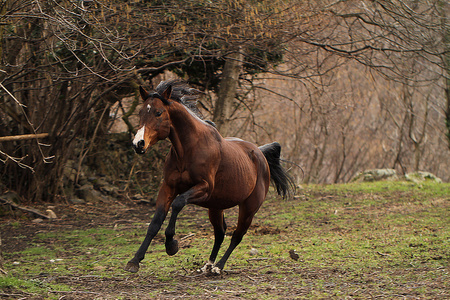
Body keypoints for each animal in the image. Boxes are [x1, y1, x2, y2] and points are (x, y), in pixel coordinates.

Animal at [125, 80, 294, 274]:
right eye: (140, 112)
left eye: (158, 112)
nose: (138, 144)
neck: (189, 150)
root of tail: (259, 153)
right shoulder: (168, 187)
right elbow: (155, 223)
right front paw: (135, 261)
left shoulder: (203, 188)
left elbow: (178, 204)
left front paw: (171, 245)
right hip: (216, 206)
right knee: (220, 233)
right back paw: (208, 265)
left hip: (249, 207)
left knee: (237, 235)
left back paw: (218, 266)